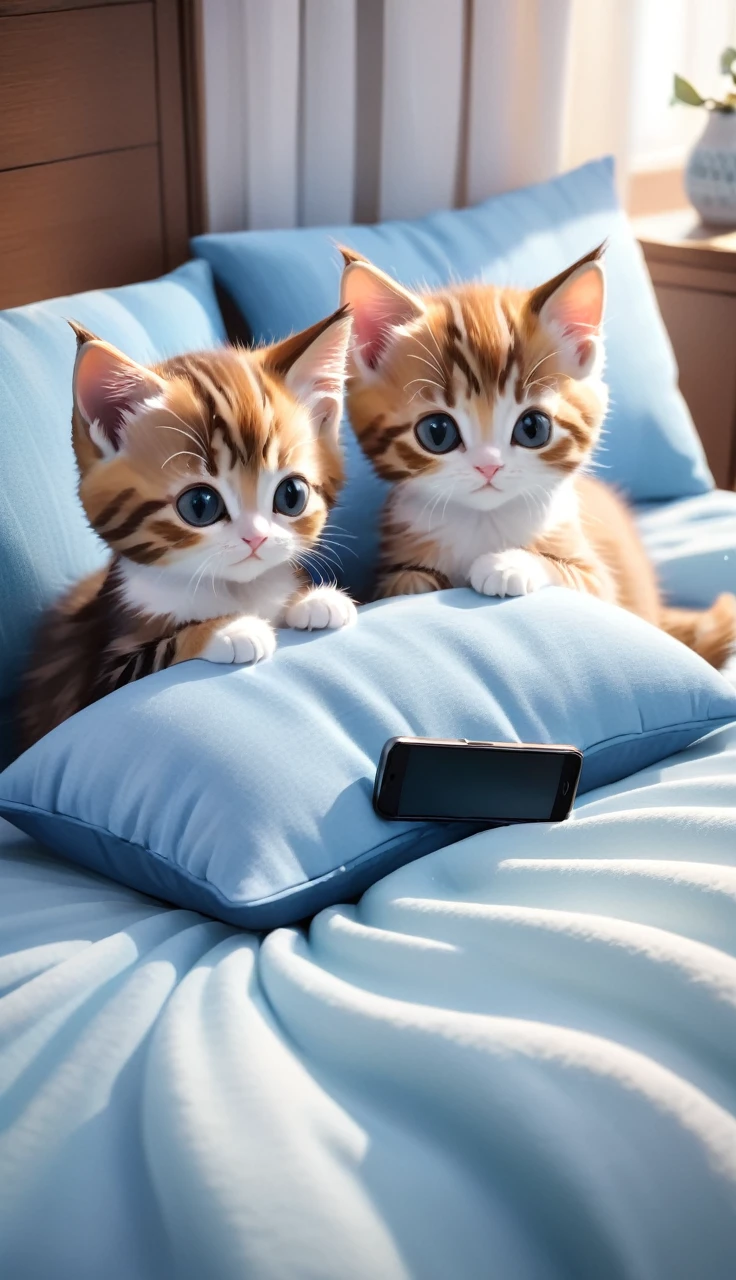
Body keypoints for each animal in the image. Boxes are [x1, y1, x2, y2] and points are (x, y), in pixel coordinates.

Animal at [20, 308, 358, 747]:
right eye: (200, 505)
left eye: (291, 495)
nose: (256, 537)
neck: (234, 588)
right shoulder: (99, 680)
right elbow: (162, 649)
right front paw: (230, 629)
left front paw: (314, 601)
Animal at [340, 247, 736, 670]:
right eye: (437, 432)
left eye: (533, 428)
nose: (489, 465)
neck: (484, 522)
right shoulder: (389, 568)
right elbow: (402, 584)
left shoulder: (601, 584)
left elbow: (566, 571)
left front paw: (508, 564)